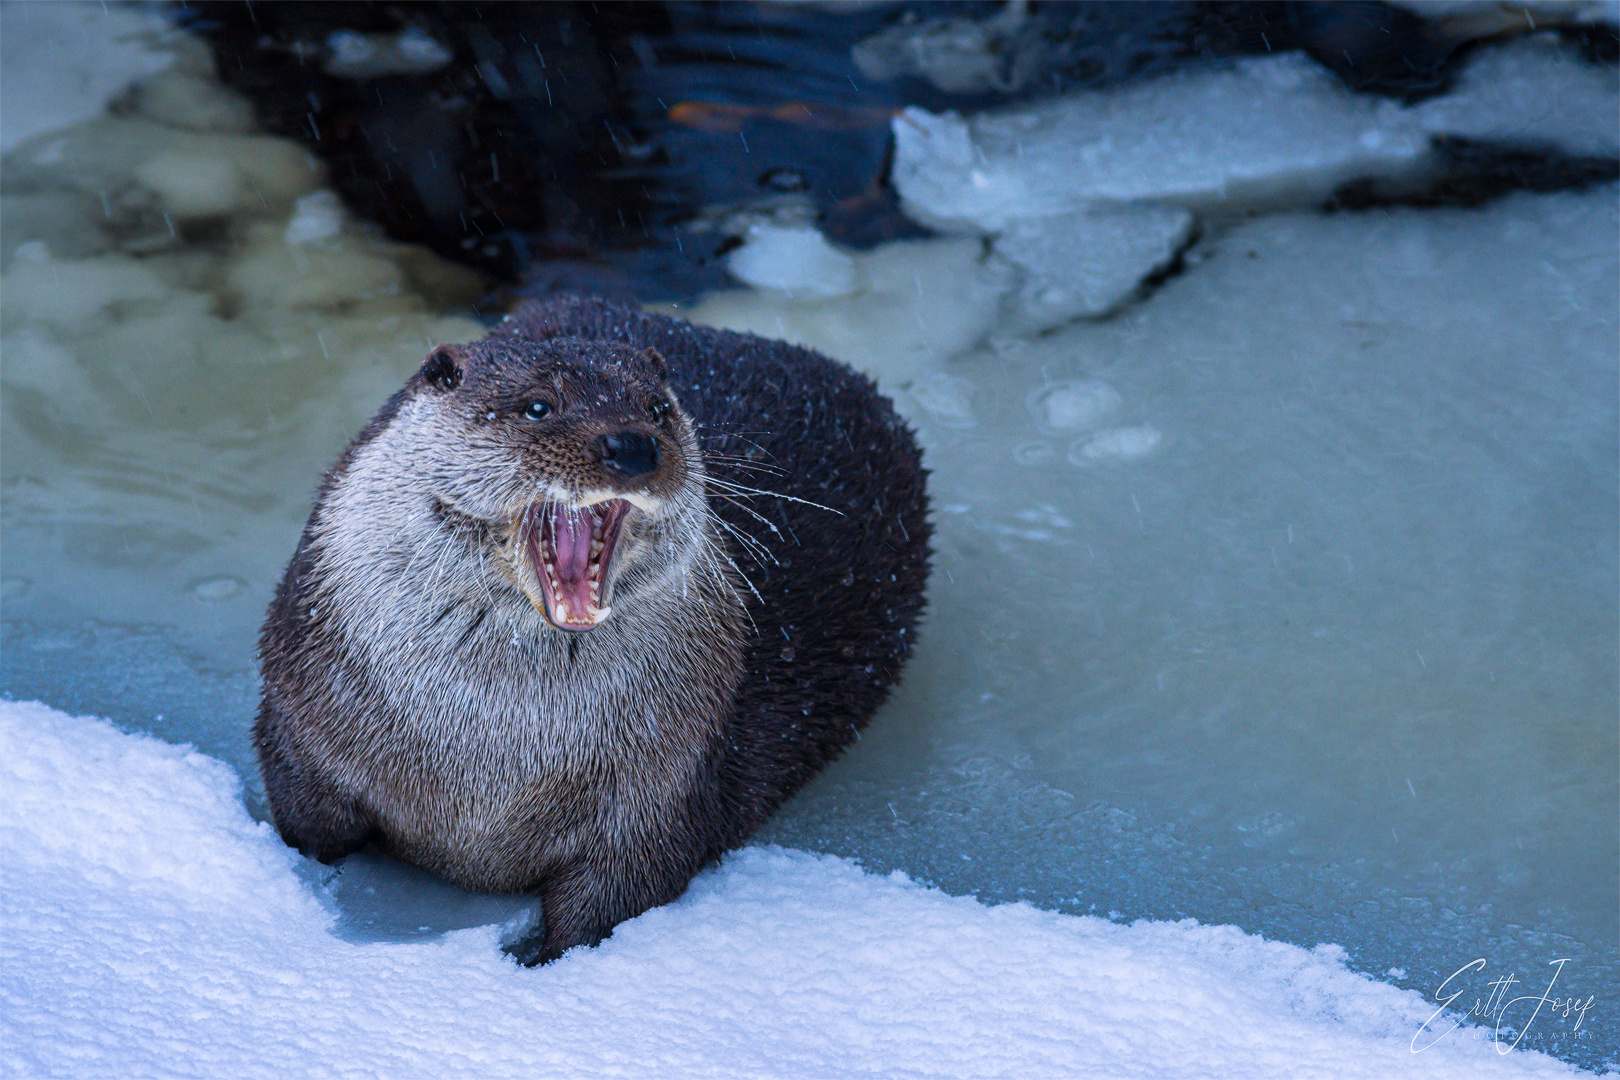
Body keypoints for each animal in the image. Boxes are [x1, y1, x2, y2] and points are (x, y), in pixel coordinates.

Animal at [259, 296, 933, 965]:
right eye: (538, 406)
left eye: (659, 409)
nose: (633, 446)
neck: (492, 761)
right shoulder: (302, 726)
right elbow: (307, 824)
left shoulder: (659, 796)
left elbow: (610, 903)